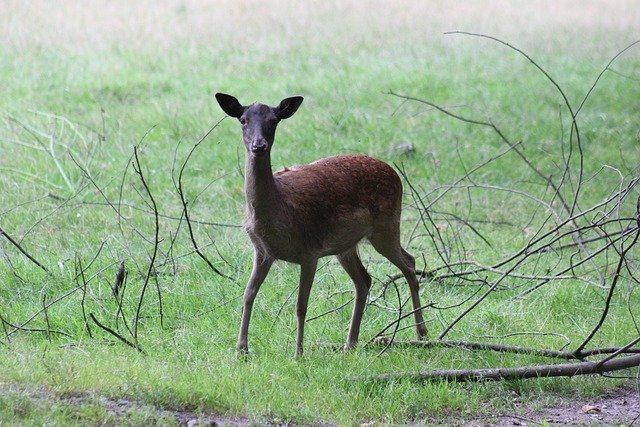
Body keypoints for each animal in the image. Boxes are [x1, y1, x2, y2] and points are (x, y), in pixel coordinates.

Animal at [215, 93, 428, 357]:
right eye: (243, 120)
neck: (279, 211)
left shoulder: (309, 251)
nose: (259, 146)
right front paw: (241, 350)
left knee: (409, 263)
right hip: (346, 246)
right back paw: (350, 343)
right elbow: (248, 294)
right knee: (364, 280)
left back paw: (421, 333)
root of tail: (395, 173)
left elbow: (301, 305)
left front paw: (298, 354)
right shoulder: (263, 251)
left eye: (274, 121)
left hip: (387, 225)